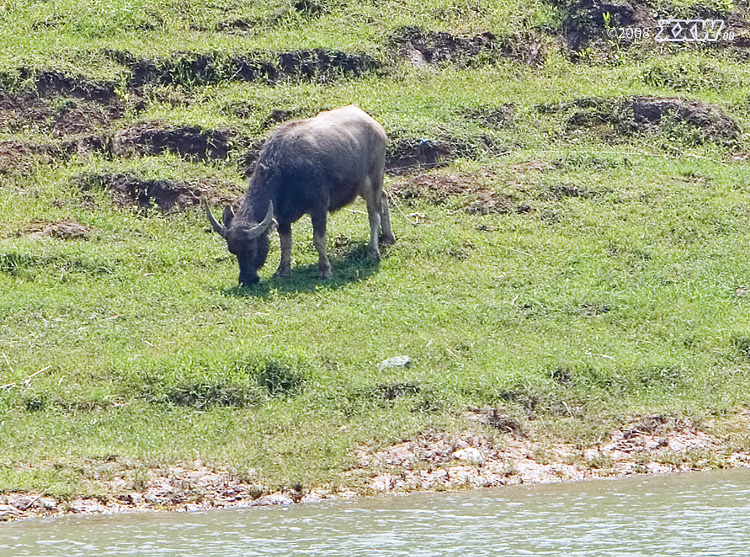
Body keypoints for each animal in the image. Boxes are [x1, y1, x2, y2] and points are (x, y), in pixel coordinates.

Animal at [203, 105, 396, 286]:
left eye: (251, 249)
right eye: (233, 250)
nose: (246, 279)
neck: (285, 171)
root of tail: (374, 124)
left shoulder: (319, 208)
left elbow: (319, 240)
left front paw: (325, 270)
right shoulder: (282, 218)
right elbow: (285, 243)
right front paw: (282, 270)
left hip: (373, 178)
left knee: (374, 214)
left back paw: (373, 251)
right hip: (360, 185)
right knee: (384, 197)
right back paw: (388, 237)